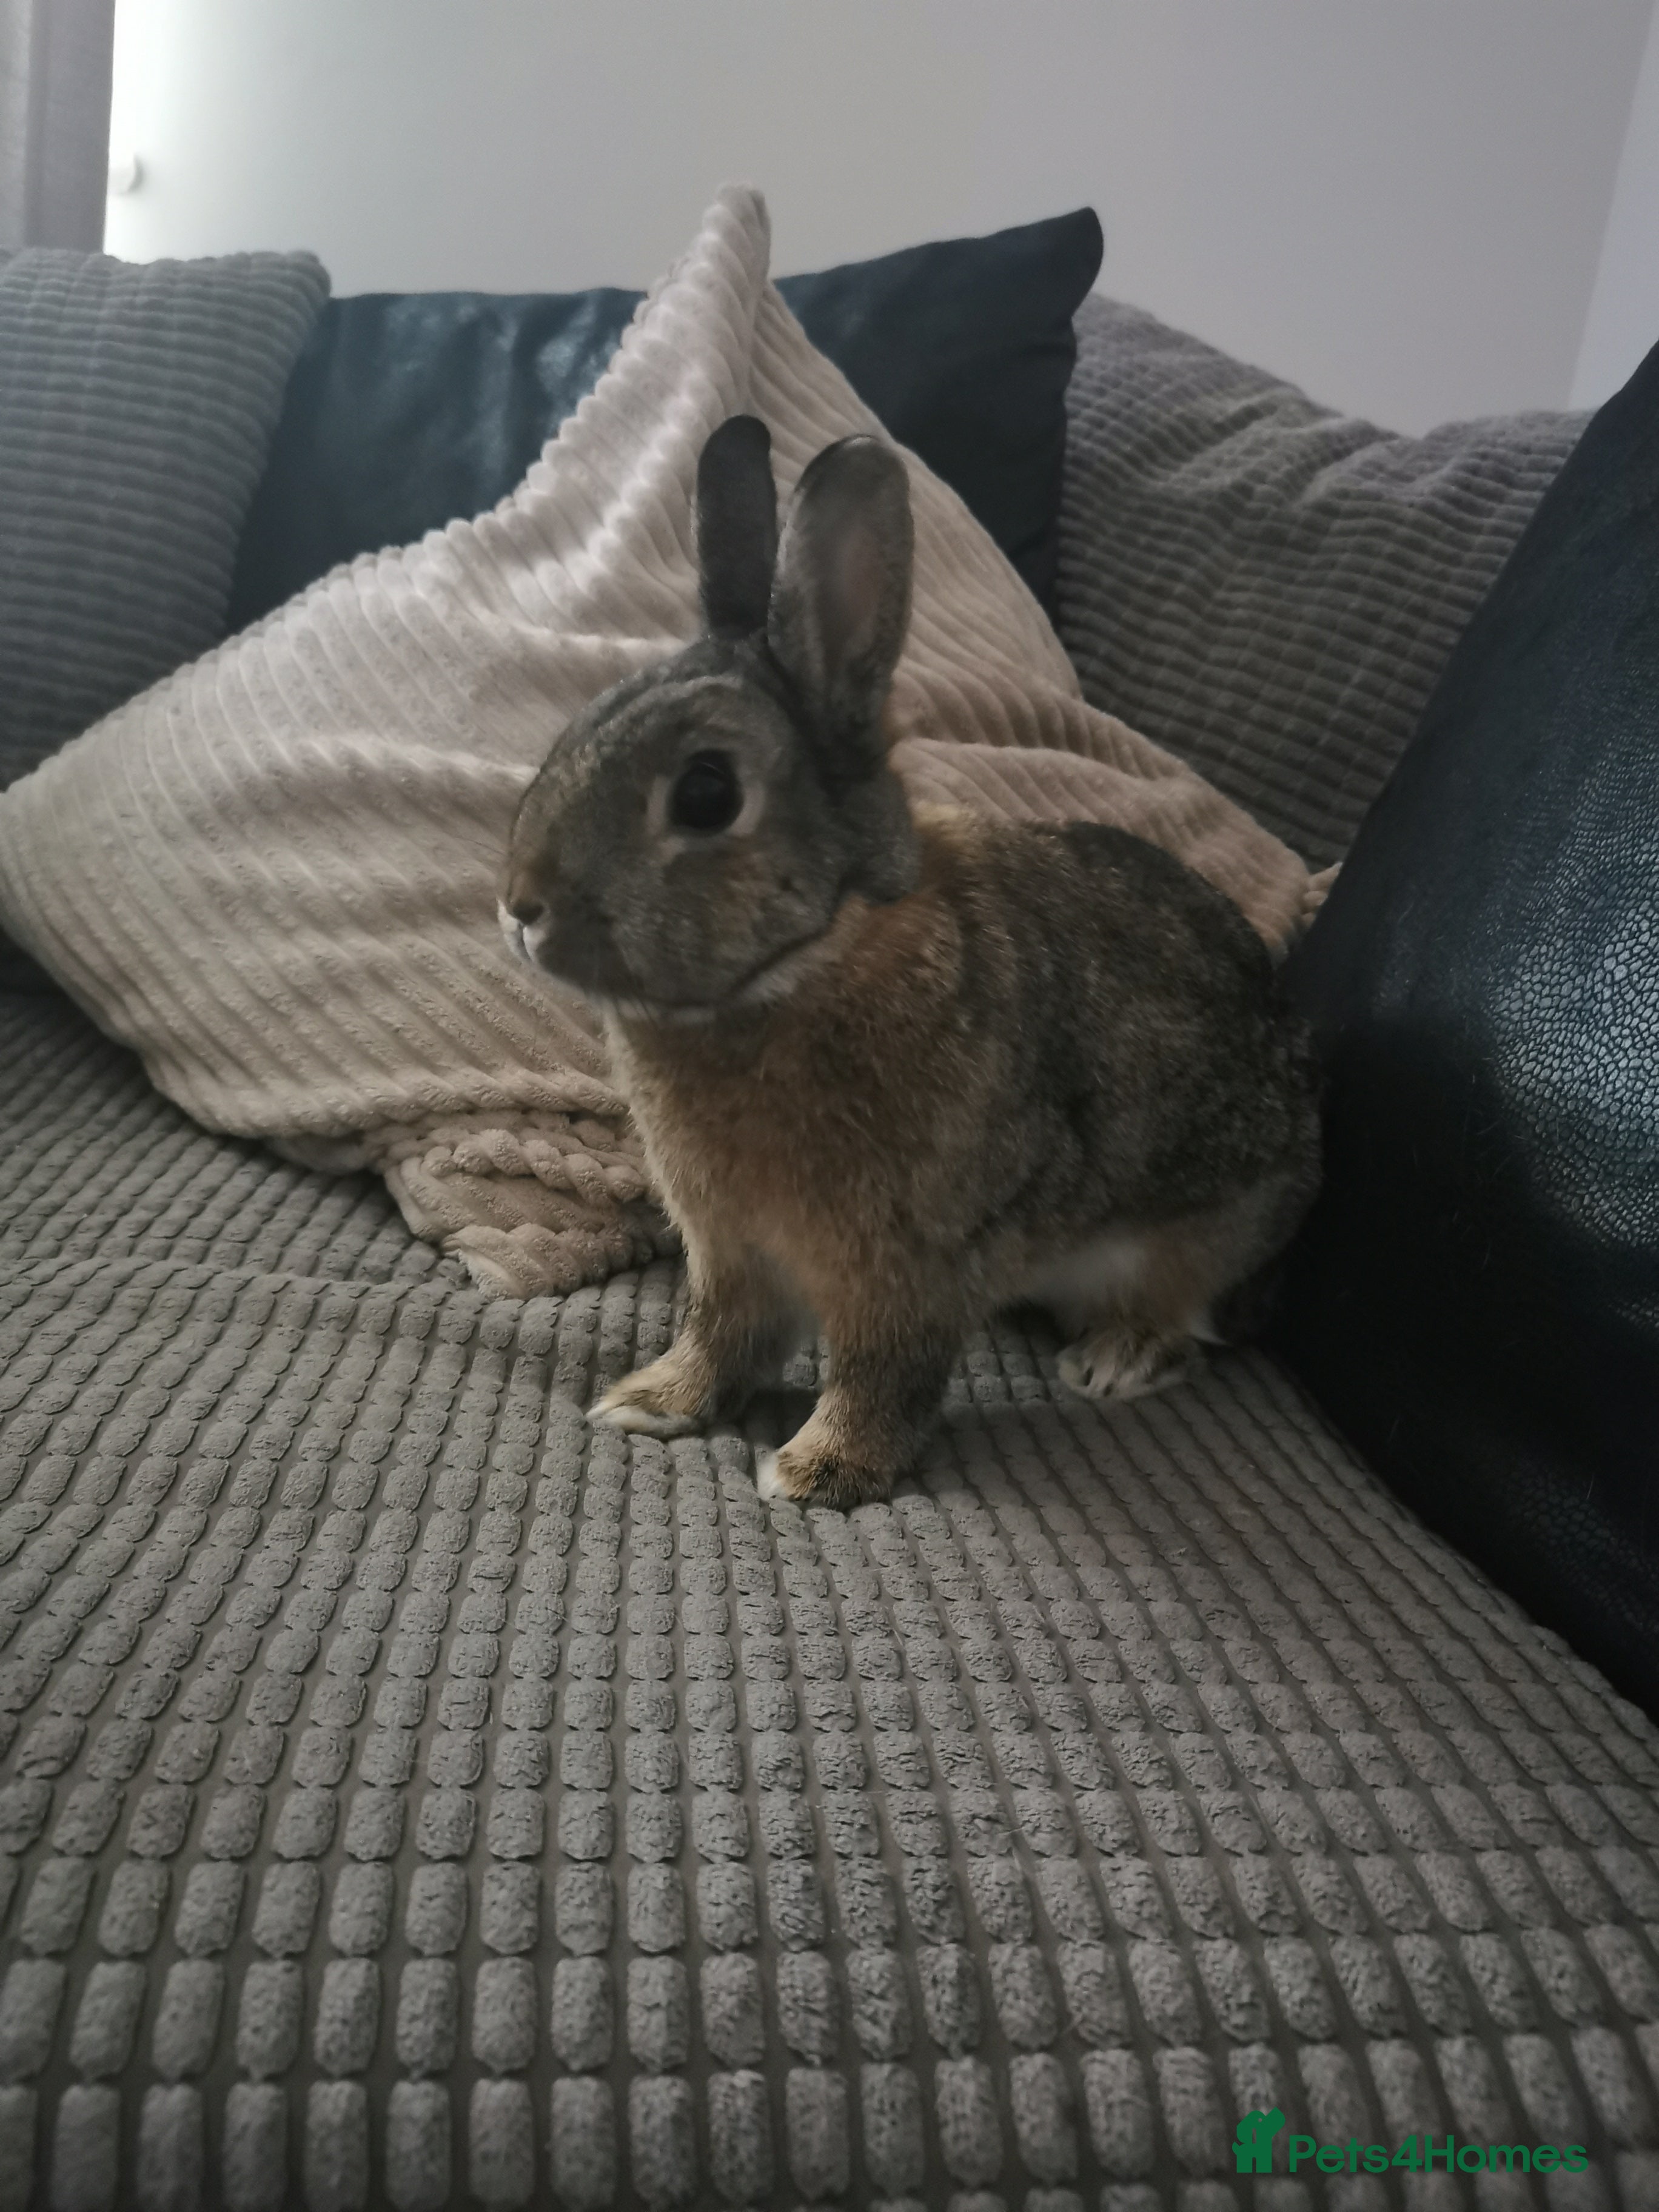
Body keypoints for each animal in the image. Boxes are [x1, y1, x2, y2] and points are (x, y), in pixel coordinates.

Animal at [502, 413, 1322, 1508]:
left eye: (708, 793)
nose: (521, 906)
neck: (811, 958)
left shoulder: (911, 1267)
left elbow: (880, 1372)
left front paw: (820, 1471)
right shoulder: (731, 1252)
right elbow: (720, 1337)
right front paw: (651, 1402)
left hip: (1199, 1231)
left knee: (1187, 1323)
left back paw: (1113, 1360)